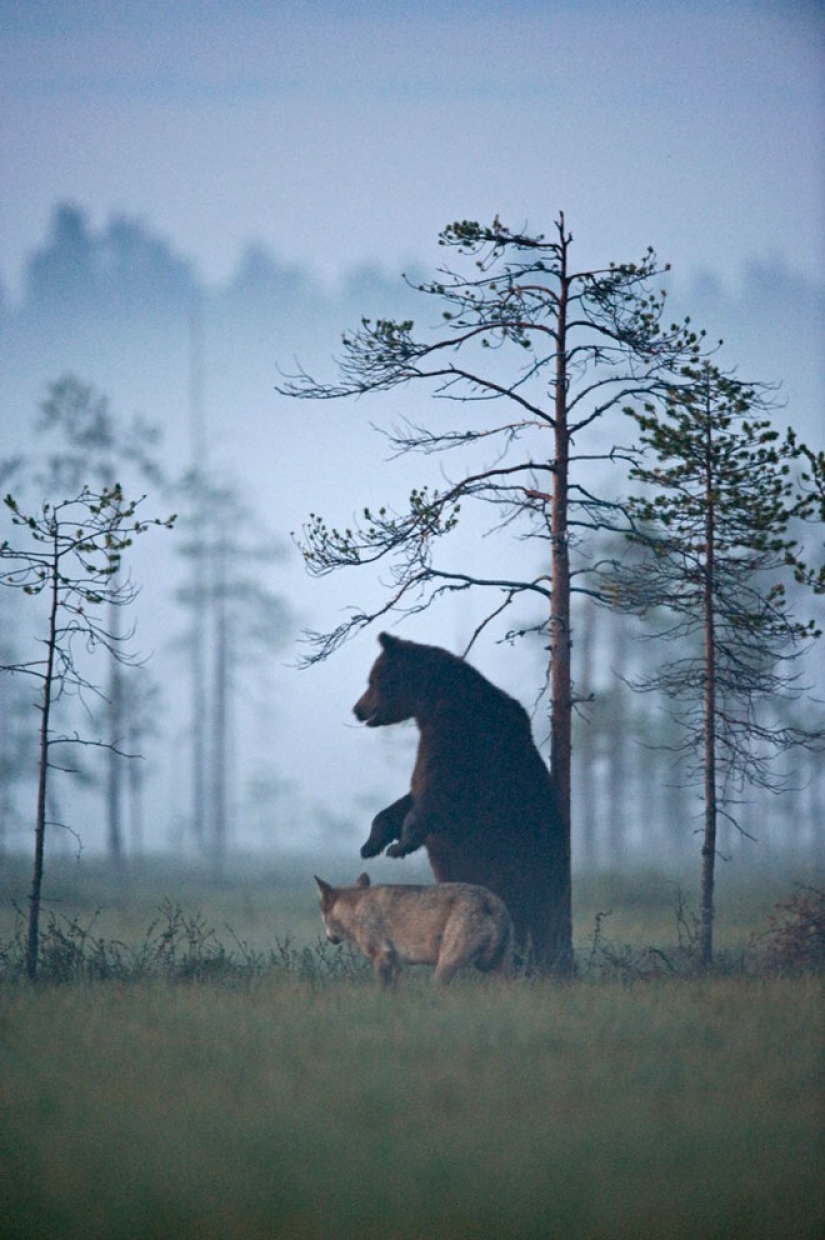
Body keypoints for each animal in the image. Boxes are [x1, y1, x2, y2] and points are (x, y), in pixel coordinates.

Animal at [349, 634, 570, 972]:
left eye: (372, 680)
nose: (357, 709)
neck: (433, 703)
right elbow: (408, 797)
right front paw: (372, 843)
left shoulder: (461, 741)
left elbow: (436, 794)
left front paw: (401, 845)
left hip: (520, 867)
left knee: (529, 914)